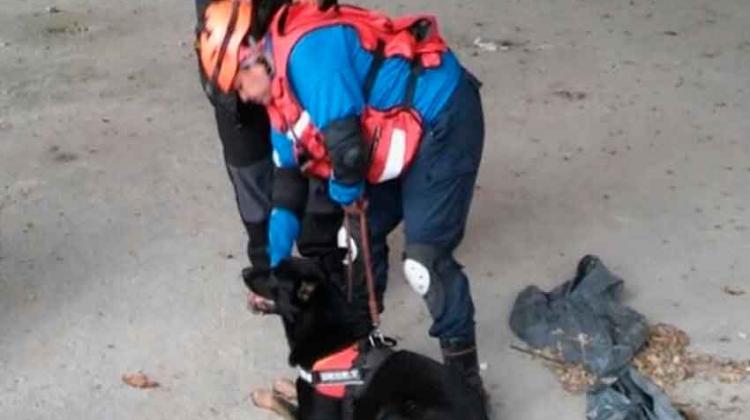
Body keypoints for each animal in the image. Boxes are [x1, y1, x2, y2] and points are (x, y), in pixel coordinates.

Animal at [245, 253, 488, 420]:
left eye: (274, 275)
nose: (245, 271)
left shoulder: (316, 417)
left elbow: (285, 406)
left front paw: (263, 395)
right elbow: (293, 390)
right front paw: (284, 384)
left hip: (394, 411)